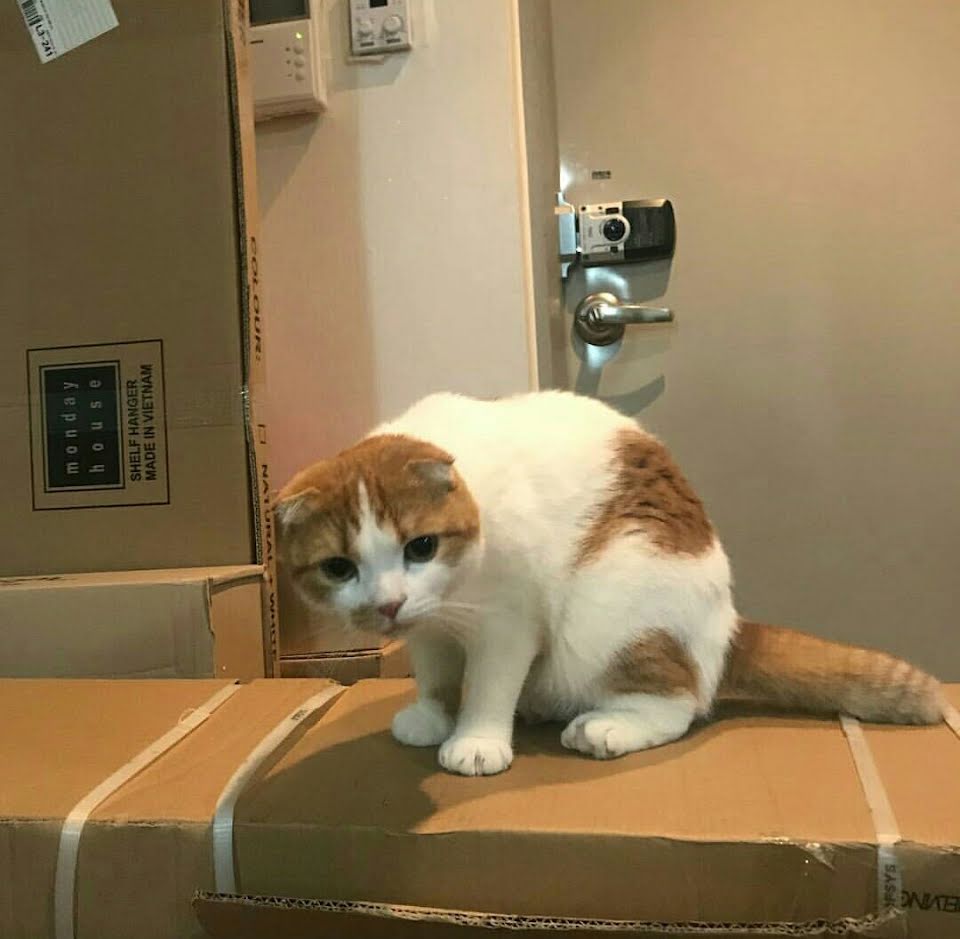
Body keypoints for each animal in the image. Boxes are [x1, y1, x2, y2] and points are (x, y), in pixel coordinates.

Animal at [275, 391, 944, 777]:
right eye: (339, 568)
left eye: (421, 547)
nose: (388, 604)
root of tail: (730, 624)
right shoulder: (430, 630)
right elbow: (436, 676)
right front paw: (432, 715)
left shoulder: (508, 623)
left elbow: (488, 685)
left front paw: (476, 739)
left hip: (605, 610)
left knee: (679, 702)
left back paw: (607, 727)